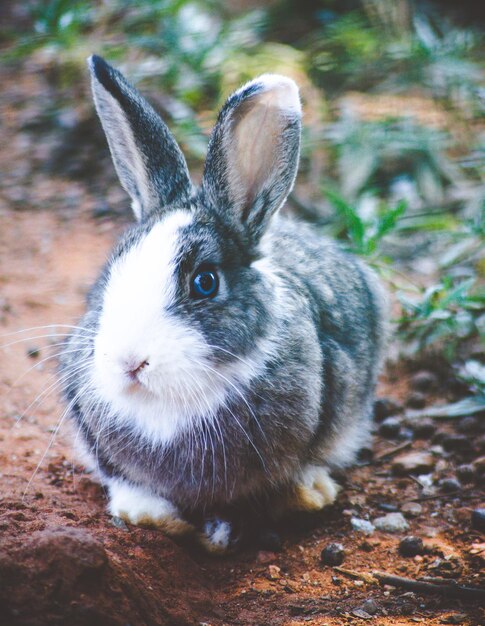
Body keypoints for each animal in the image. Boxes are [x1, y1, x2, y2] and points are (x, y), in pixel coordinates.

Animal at [59, 54, 386, 552]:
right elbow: (126, 481)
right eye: (112, 267)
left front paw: (308, 493)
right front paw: (149, 514)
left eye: (205, 283)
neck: (172, 400)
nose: (129, 362)